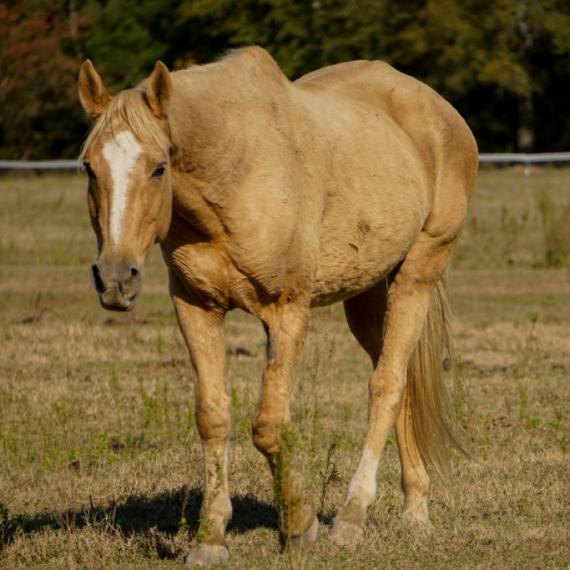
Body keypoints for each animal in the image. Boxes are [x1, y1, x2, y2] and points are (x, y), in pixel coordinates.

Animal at [76, 45, 474, 564]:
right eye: (88, 167)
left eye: (159, 166)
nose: (116, 278)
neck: (234, 170)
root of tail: (439, 110)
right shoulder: (196, 308)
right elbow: (213, 417)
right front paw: (211, 538)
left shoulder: (287, 312)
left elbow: (268, 425)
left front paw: (301, 527)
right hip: (367, 295)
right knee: (400, 379)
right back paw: (415, 511)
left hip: (417, 276)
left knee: (385, 386)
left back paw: (351, 518)